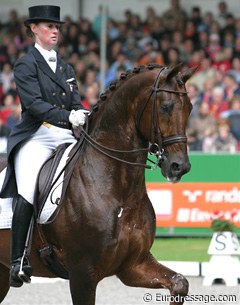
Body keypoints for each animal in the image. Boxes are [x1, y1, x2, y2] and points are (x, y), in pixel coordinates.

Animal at [0, 64, 195, 304]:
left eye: (190, 108)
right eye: (166, 107)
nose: (180, 166)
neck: (119, 190)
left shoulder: (134, 265)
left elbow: (179, 283)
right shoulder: (82, 274)